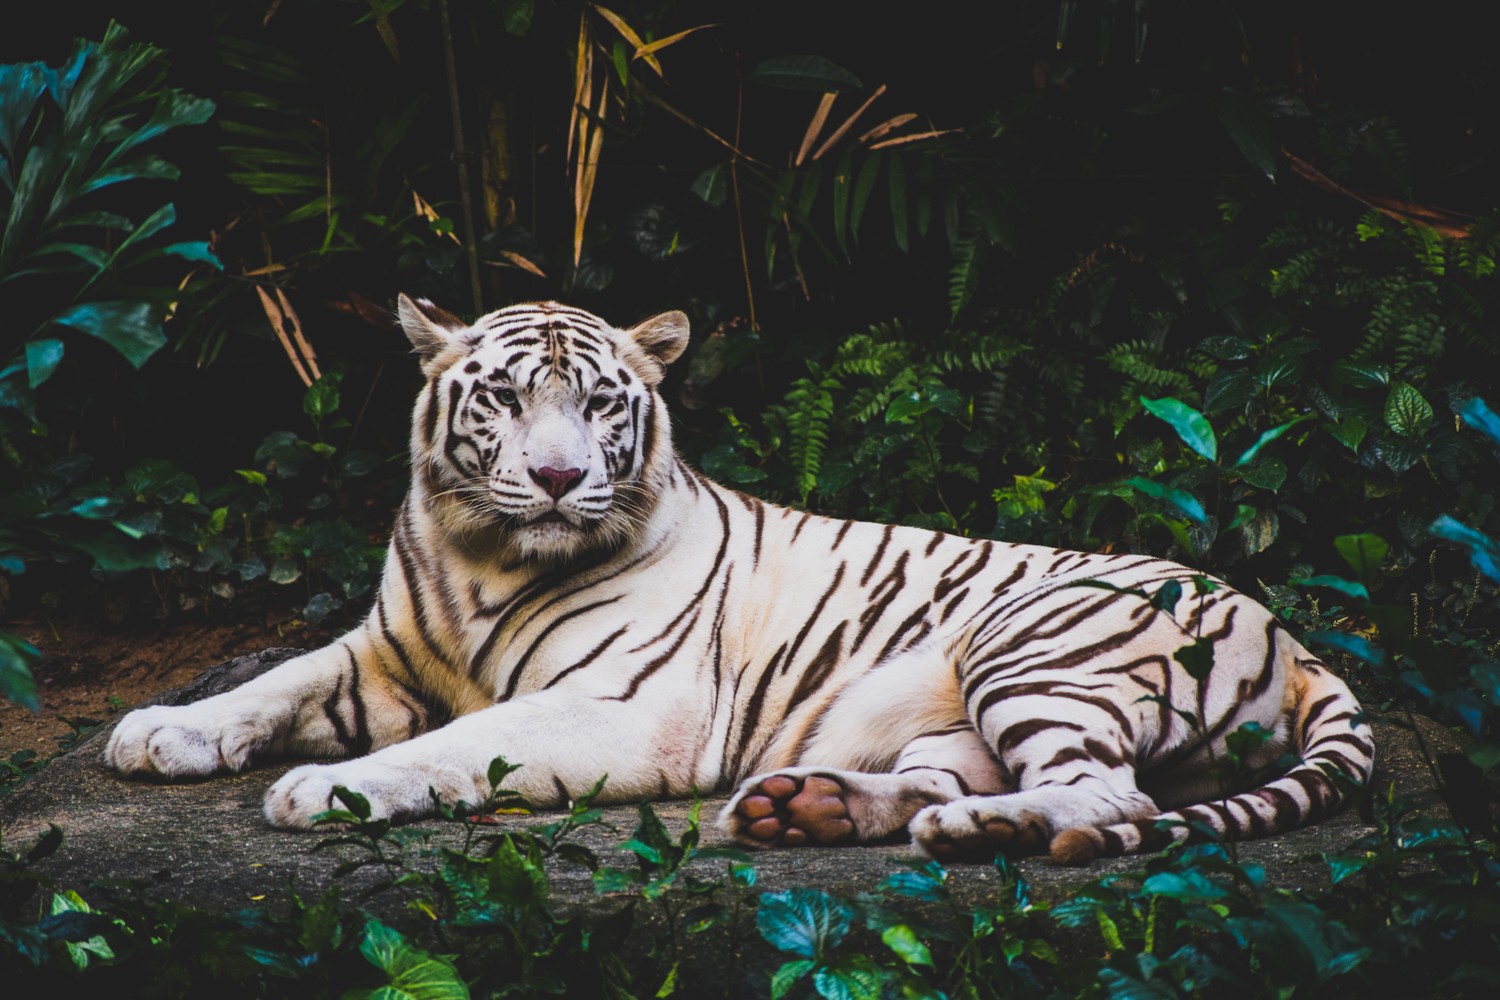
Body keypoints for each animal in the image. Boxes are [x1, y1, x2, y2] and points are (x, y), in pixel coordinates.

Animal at [102, 293, 1374, 863]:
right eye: (505, 397)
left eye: (599, 403)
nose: (558, 477)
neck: (482, 556)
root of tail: (1296, 637)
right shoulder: (383, 650)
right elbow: (274, 678)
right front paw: (159, 730)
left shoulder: (624, 707)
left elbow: (456, 743)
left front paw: (326, 789)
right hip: (955, 709)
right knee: (957, 774)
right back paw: (807, 805)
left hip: (1033, 643)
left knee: (1113, 796)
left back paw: (981, 828)